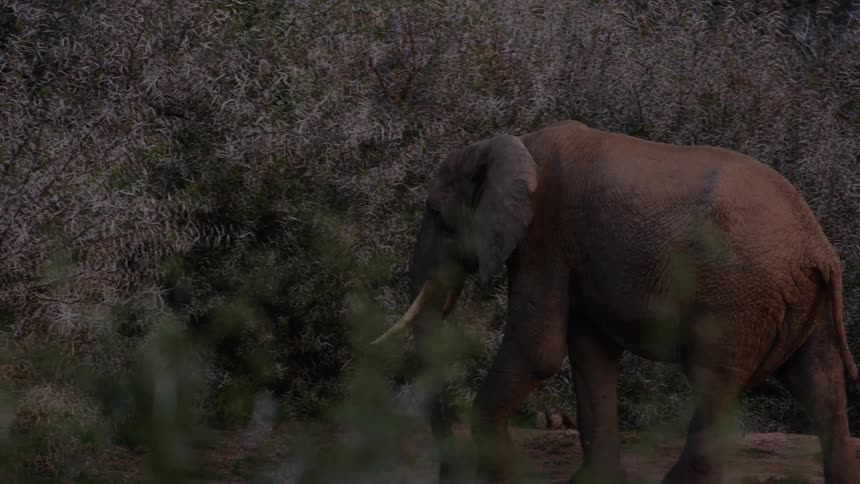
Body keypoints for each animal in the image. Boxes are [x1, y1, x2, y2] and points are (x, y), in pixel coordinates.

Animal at [372, 120, 859, 484]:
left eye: (436, 214)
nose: (449, 475)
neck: (510, 143)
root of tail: (818, 249)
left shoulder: (544, 235)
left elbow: (538, 350)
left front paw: (504, 476)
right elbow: (590, 352)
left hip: (735, 295)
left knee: (715, 381)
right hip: (798, 301)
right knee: (820, 386)